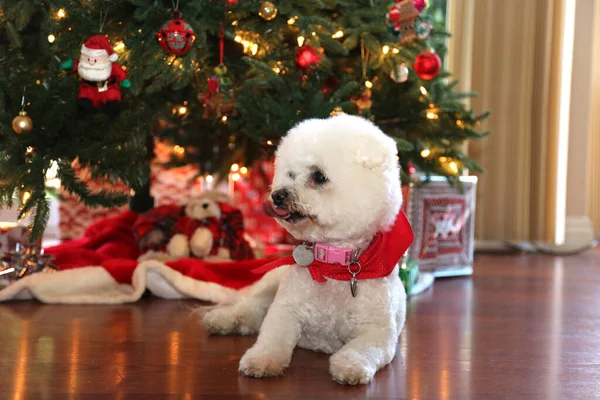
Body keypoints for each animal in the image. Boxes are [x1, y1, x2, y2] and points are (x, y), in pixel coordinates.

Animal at [202, 112, 412, 384]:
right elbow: (271, 338)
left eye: (319, 176)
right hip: (270, 285)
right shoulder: (285, 310)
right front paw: (262, 359)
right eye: (291, 174)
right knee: (248, 307)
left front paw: (351, 366)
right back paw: (222, 319)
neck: (332, 265)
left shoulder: (377, 332)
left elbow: (363, 350)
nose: (278, 195)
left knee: (253, 316)